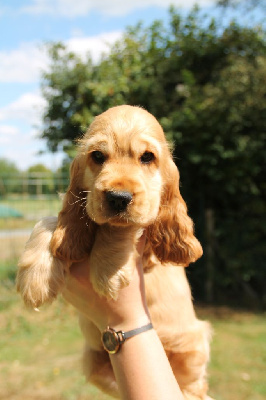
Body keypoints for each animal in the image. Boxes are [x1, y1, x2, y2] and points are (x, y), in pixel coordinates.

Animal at [16, 105, 212, 400]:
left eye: (147, 157)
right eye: (97, 156)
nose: (118, 198)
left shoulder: (148, 249)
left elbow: (121, 226)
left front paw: (106, 271)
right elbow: (52, 220)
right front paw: (36, 280)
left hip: (193, 343)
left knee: (192, 387)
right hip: (94, 363)